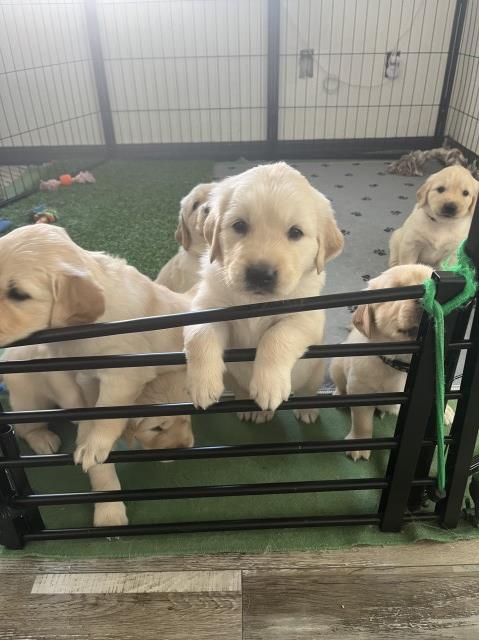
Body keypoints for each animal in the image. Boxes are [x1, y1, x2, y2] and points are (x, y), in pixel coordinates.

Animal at [185, 162, 344, 422]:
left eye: (295, 232)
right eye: (239, 225)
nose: (260, 274)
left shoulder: (306, 318)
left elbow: (277, 336)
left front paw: (269, 386)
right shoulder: (207, 306)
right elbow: (199, 335)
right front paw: (201, 385)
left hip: (315, 372)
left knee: (308, 390)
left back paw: (307, 410)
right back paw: (249, 409)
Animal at [330, 264, 454, 460]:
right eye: (397, 291)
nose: (424, 299)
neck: (403, 363)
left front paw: (446, 410)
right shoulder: (361, 391)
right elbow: (362, 421)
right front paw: (359, 443)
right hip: (336, 366)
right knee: (340, 384)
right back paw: (340, 397)